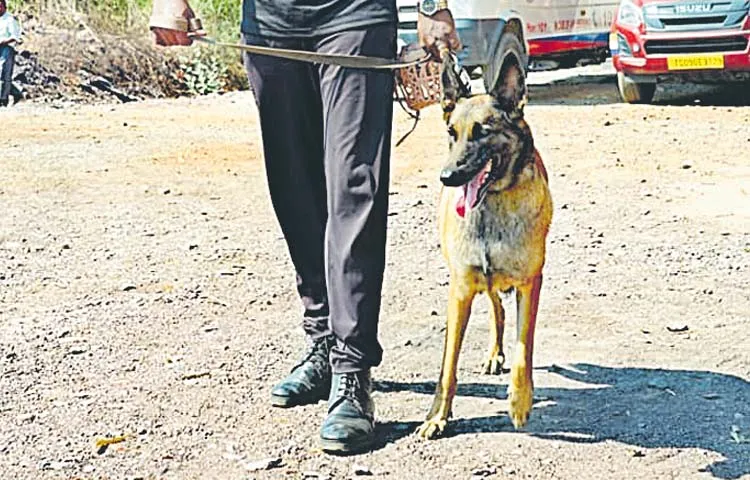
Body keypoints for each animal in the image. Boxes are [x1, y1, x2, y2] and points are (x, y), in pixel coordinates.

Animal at [418, 57, 552, 438]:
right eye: (452, 133)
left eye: (483, 132)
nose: (448, 177)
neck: (492, 201)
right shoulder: (460, 290)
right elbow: (448, 365)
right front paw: (437, 416)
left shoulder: (530, 284)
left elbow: (524, 348)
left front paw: (520, 402)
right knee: (497, 309)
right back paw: (493, 353)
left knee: (502, 312)